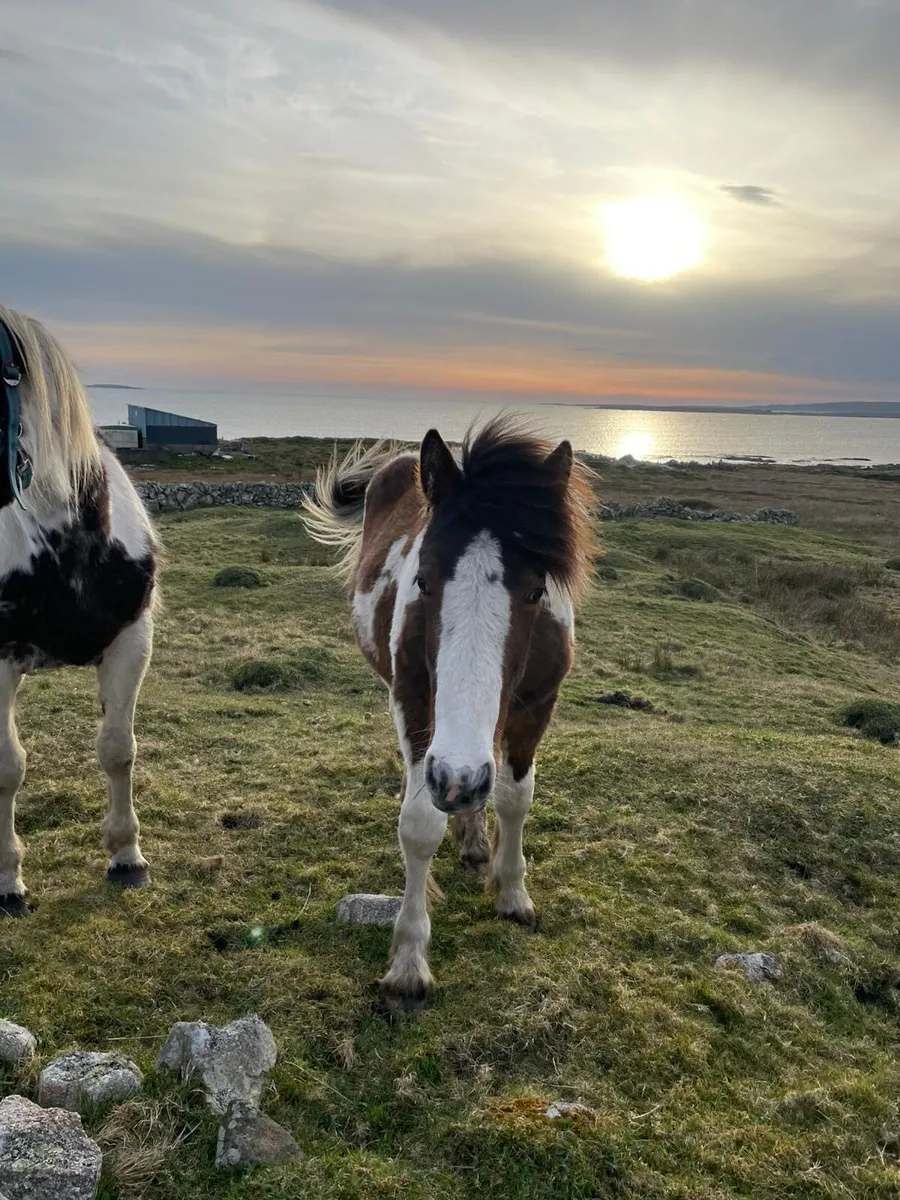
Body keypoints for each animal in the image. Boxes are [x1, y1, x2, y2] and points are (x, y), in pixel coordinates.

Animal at [303, 416, 594, 1009]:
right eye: (423, 580)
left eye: (536, 591)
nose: (456, 777)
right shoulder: (416, 705)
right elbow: (419, 825)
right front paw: (409, 962)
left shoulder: (536, 708)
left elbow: (515, 798)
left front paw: (512, 892)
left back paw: (475, 837)